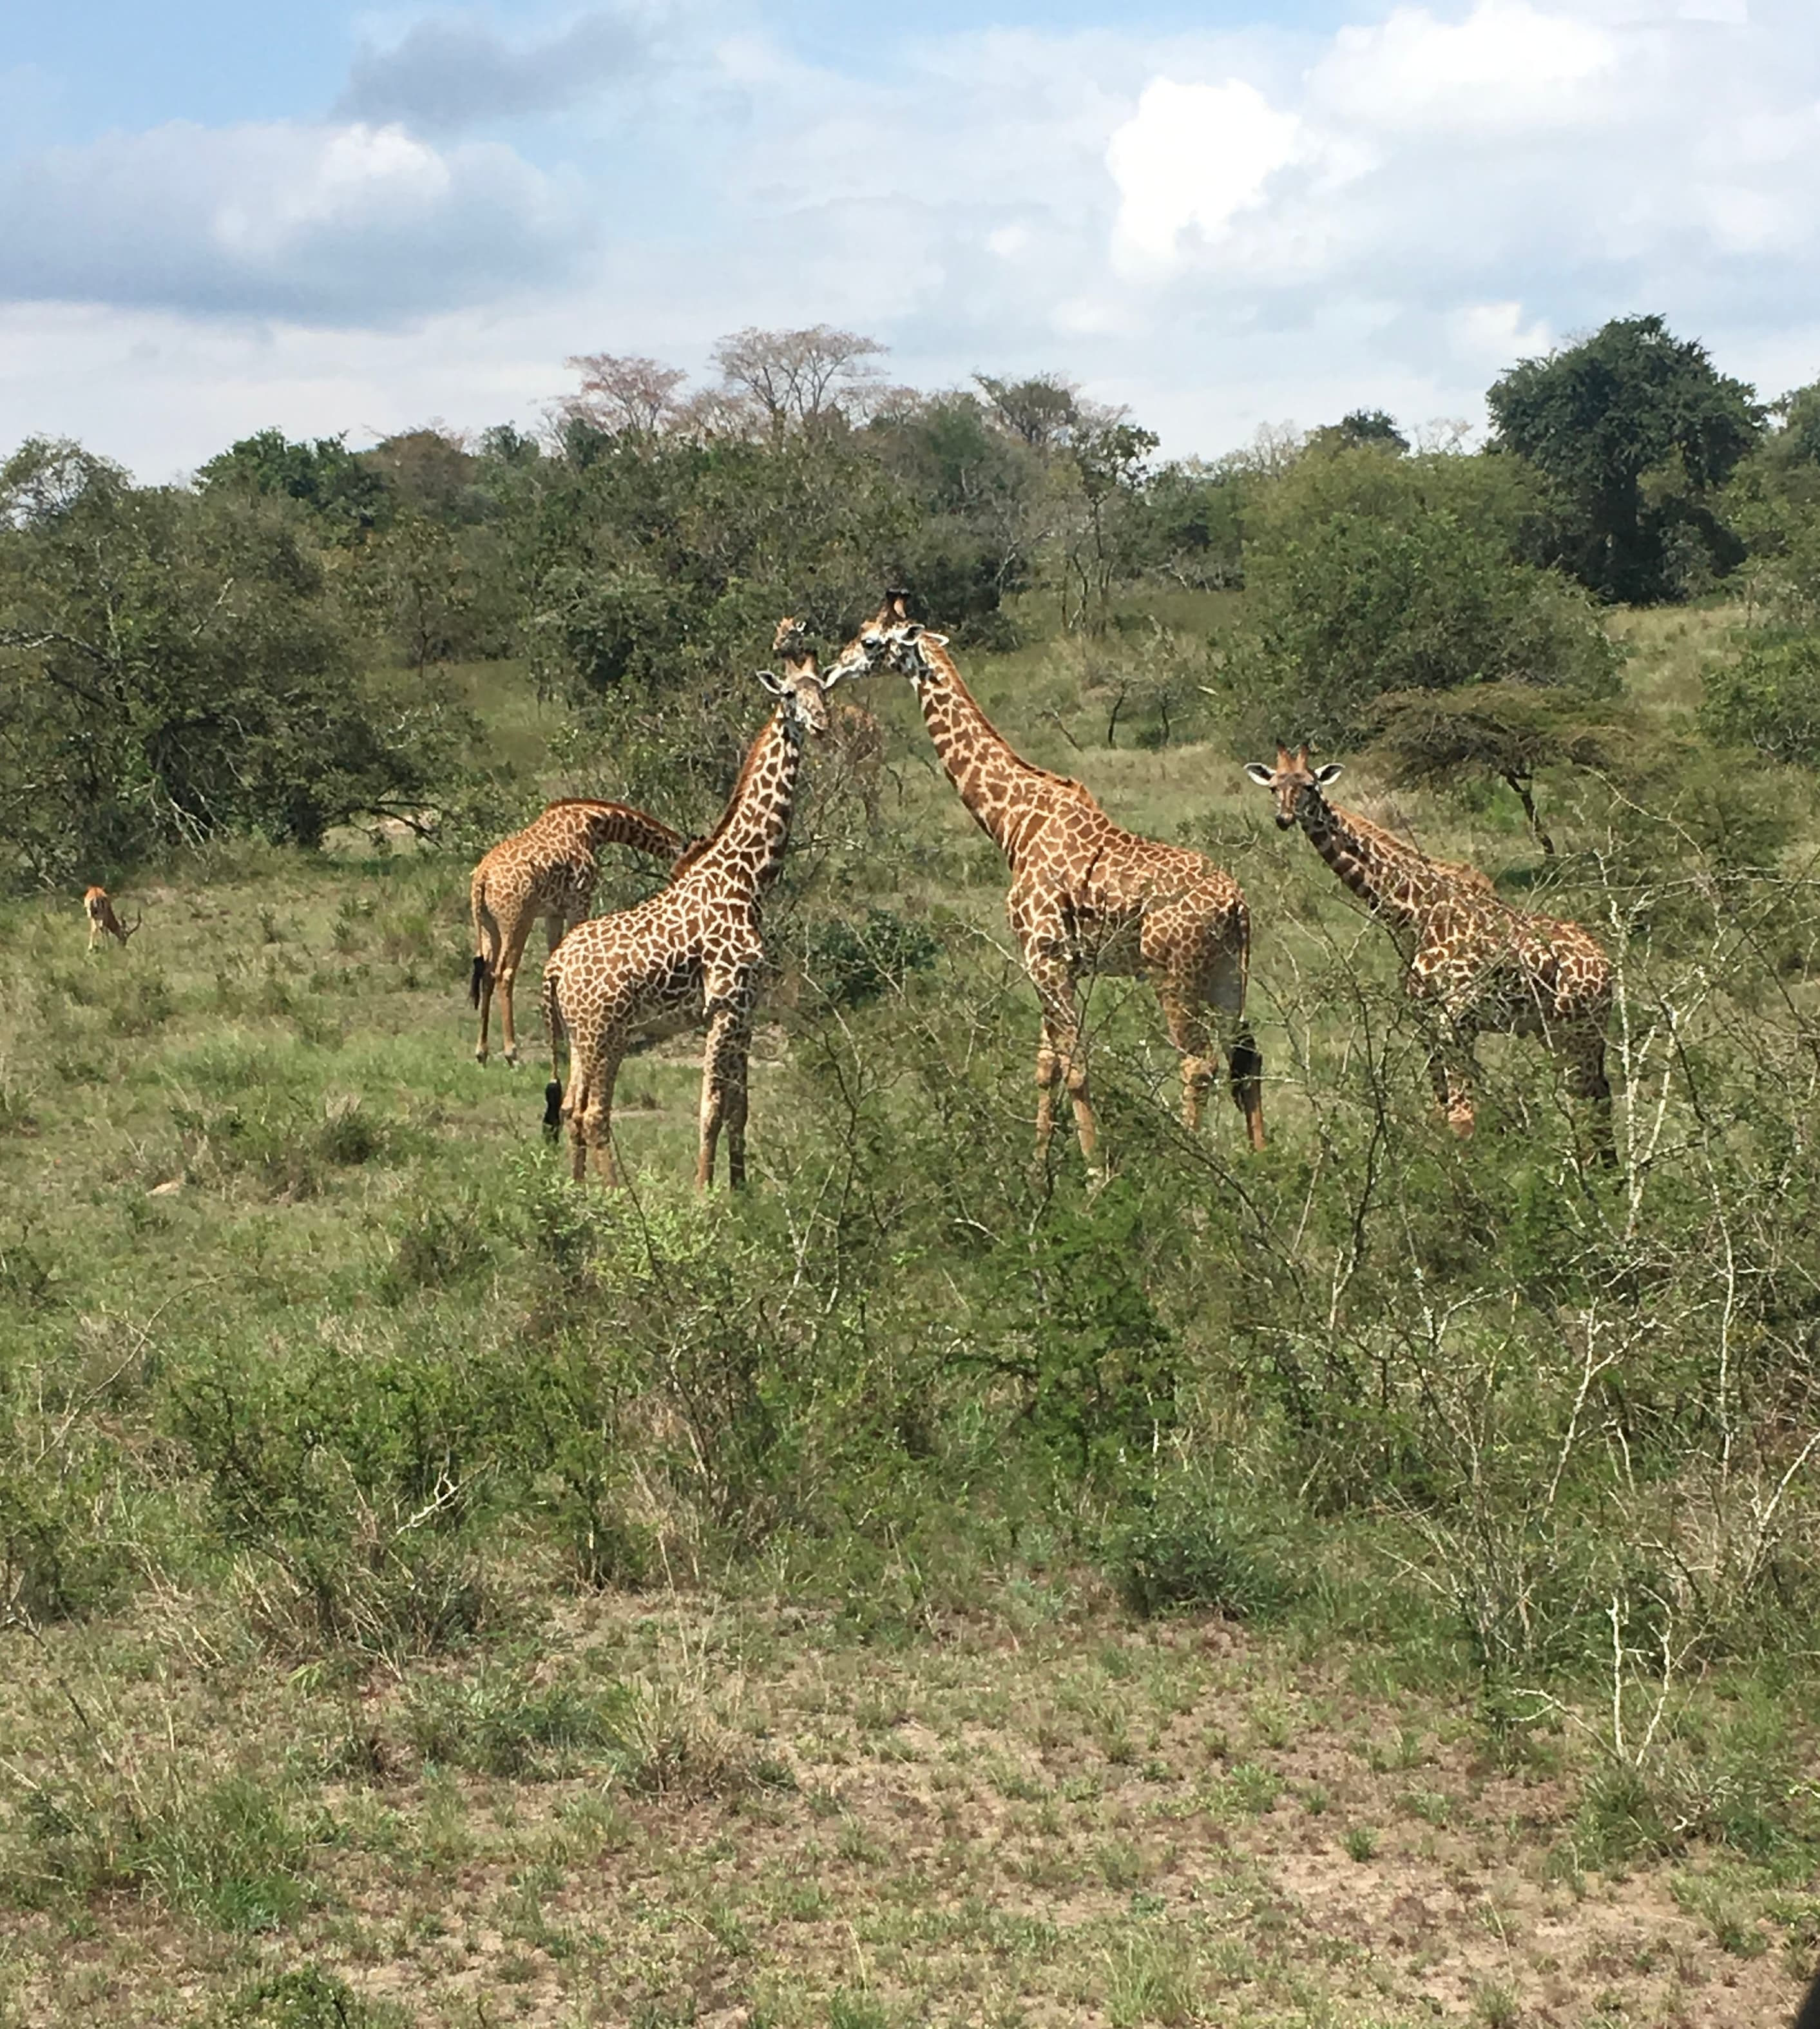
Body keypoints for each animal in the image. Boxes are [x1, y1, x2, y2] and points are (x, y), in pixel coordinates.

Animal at [469, 800, 688, 1067]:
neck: (592, 825)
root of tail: (482, 878)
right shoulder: (579, 902)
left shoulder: (554, 912)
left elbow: (553, 962)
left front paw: (561, 1042)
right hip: (517, 921)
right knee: (504, 973)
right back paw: (512, 1054)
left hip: (488, 926)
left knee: (487, 974)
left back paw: (482, 1052)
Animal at [540, 649, 832, 1190]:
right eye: (788, 693)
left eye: (822, 688)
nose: (820, 723)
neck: (746, 878)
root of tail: (554, 968)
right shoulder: (725, 1004)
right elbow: (712, 1106)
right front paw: (703, 1193)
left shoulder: (747, 1007)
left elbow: (740, 1106)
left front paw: (740, 1189)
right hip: (599, 1032)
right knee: (592, 1112)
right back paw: (616, 1195)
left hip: (587, 1035)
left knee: (573, 1107)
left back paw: (577, 1191)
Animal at [823, 595, 1264, 1164]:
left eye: (871, 640)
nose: (831, 672)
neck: (1013, 822)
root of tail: (1237, 907)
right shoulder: (1054, 962)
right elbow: (1046, 1065)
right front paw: (1037, 1171)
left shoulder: (1043, 953)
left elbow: (1075, 1067)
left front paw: (1094, 1173)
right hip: (1229, 973)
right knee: (1245, 1056)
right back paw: (1261, 1159)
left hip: (1174, 974)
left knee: (1199, 1063)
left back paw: (1190, 1161)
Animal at [1244, 746, 1613, 1157]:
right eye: (1275, 787)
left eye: (1309, 785)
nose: (1284, 819)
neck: (1414, 911)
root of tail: (1608, 968)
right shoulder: (1425, 1019)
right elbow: (1443, 1110)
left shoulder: (1458, 1018)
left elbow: (1462, 1119)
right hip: (1556, 1032)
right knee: (1598, 1094)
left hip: (1577, 1031)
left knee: (1590, 1099)